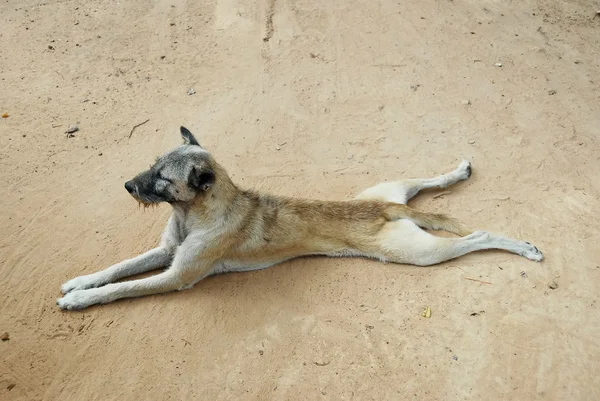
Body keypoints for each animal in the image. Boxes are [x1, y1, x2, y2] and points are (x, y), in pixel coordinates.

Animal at [57, 127, 544, 310]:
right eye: (153, 165)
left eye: (162, 178)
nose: (127, 185)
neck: (191, 215)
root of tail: (388, 209)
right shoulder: (164, 252)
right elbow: (117, 269)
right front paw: (79, 282)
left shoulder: (177, 276)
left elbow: (122, 287)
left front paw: (80, 299)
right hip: (391, 188)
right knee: (428, 182)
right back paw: (457, 171)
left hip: (418, 253)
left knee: (478, 235)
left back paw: (524, 246)